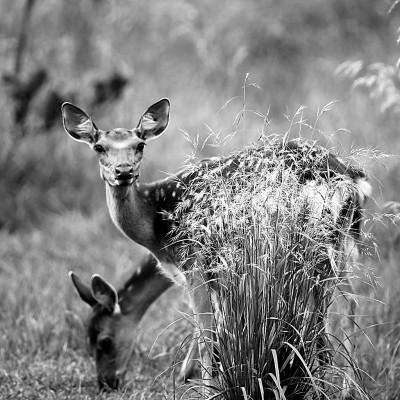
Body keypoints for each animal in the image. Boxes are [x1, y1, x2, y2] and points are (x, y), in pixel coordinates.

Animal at [61, 100, 370, 396]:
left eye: (105, 341)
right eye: (99, 147)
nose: (106, 383)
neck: (157, 226)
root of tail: (349, 179)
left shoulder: (194, 263)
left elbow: (206, 332)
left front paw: (204, 386)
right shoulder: (220, 275)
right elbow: (219, 330)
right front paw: (195, 376)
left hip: (310, 243)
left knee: (333, 308)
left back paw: (335, 385)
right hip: (341, 244)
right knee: (348, 303)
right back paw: (340, 381)